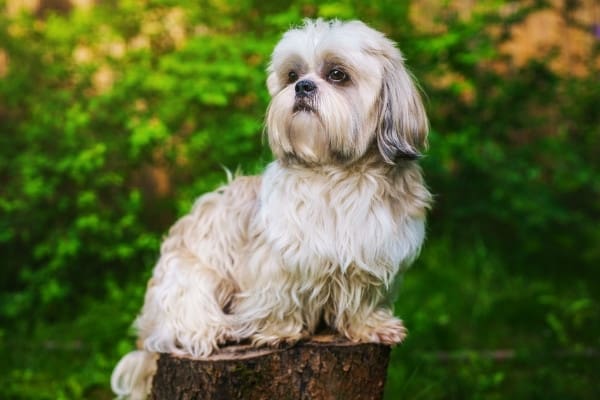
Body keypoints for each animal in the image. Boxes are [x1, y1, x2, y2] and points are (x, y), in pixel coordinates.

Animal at [111, 19, 432, 400]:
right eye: (292, 74)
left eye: (337, 74)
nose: (303, 86)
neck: (336, 175)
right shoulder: (278, 259)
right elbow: (279, 295)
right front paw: (279, 331)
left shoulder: (373, 254)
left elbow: (363, 300)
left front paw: (370, 326)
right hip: (189, 275)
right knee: (181, 319)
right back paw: (213, 330)